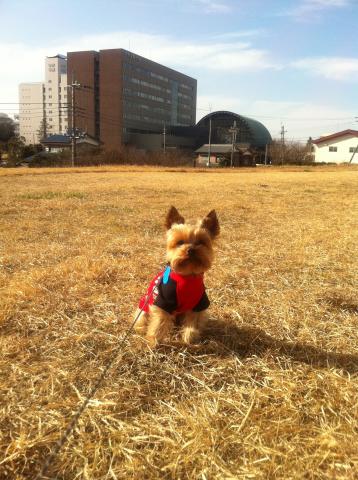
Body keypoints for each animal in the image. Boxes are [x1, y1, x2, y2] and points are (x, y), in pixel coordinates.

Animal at [134, 204, 218, 346]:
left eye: (201, 242)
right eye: (180, 242)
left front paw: (189, 338)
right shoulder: (163, 302)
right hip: (143, 308)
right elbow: (159, 323)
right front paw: (153, 342)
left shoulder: (198, 304)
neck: (187, 276)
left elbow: (193, 323)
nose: (191, 249)